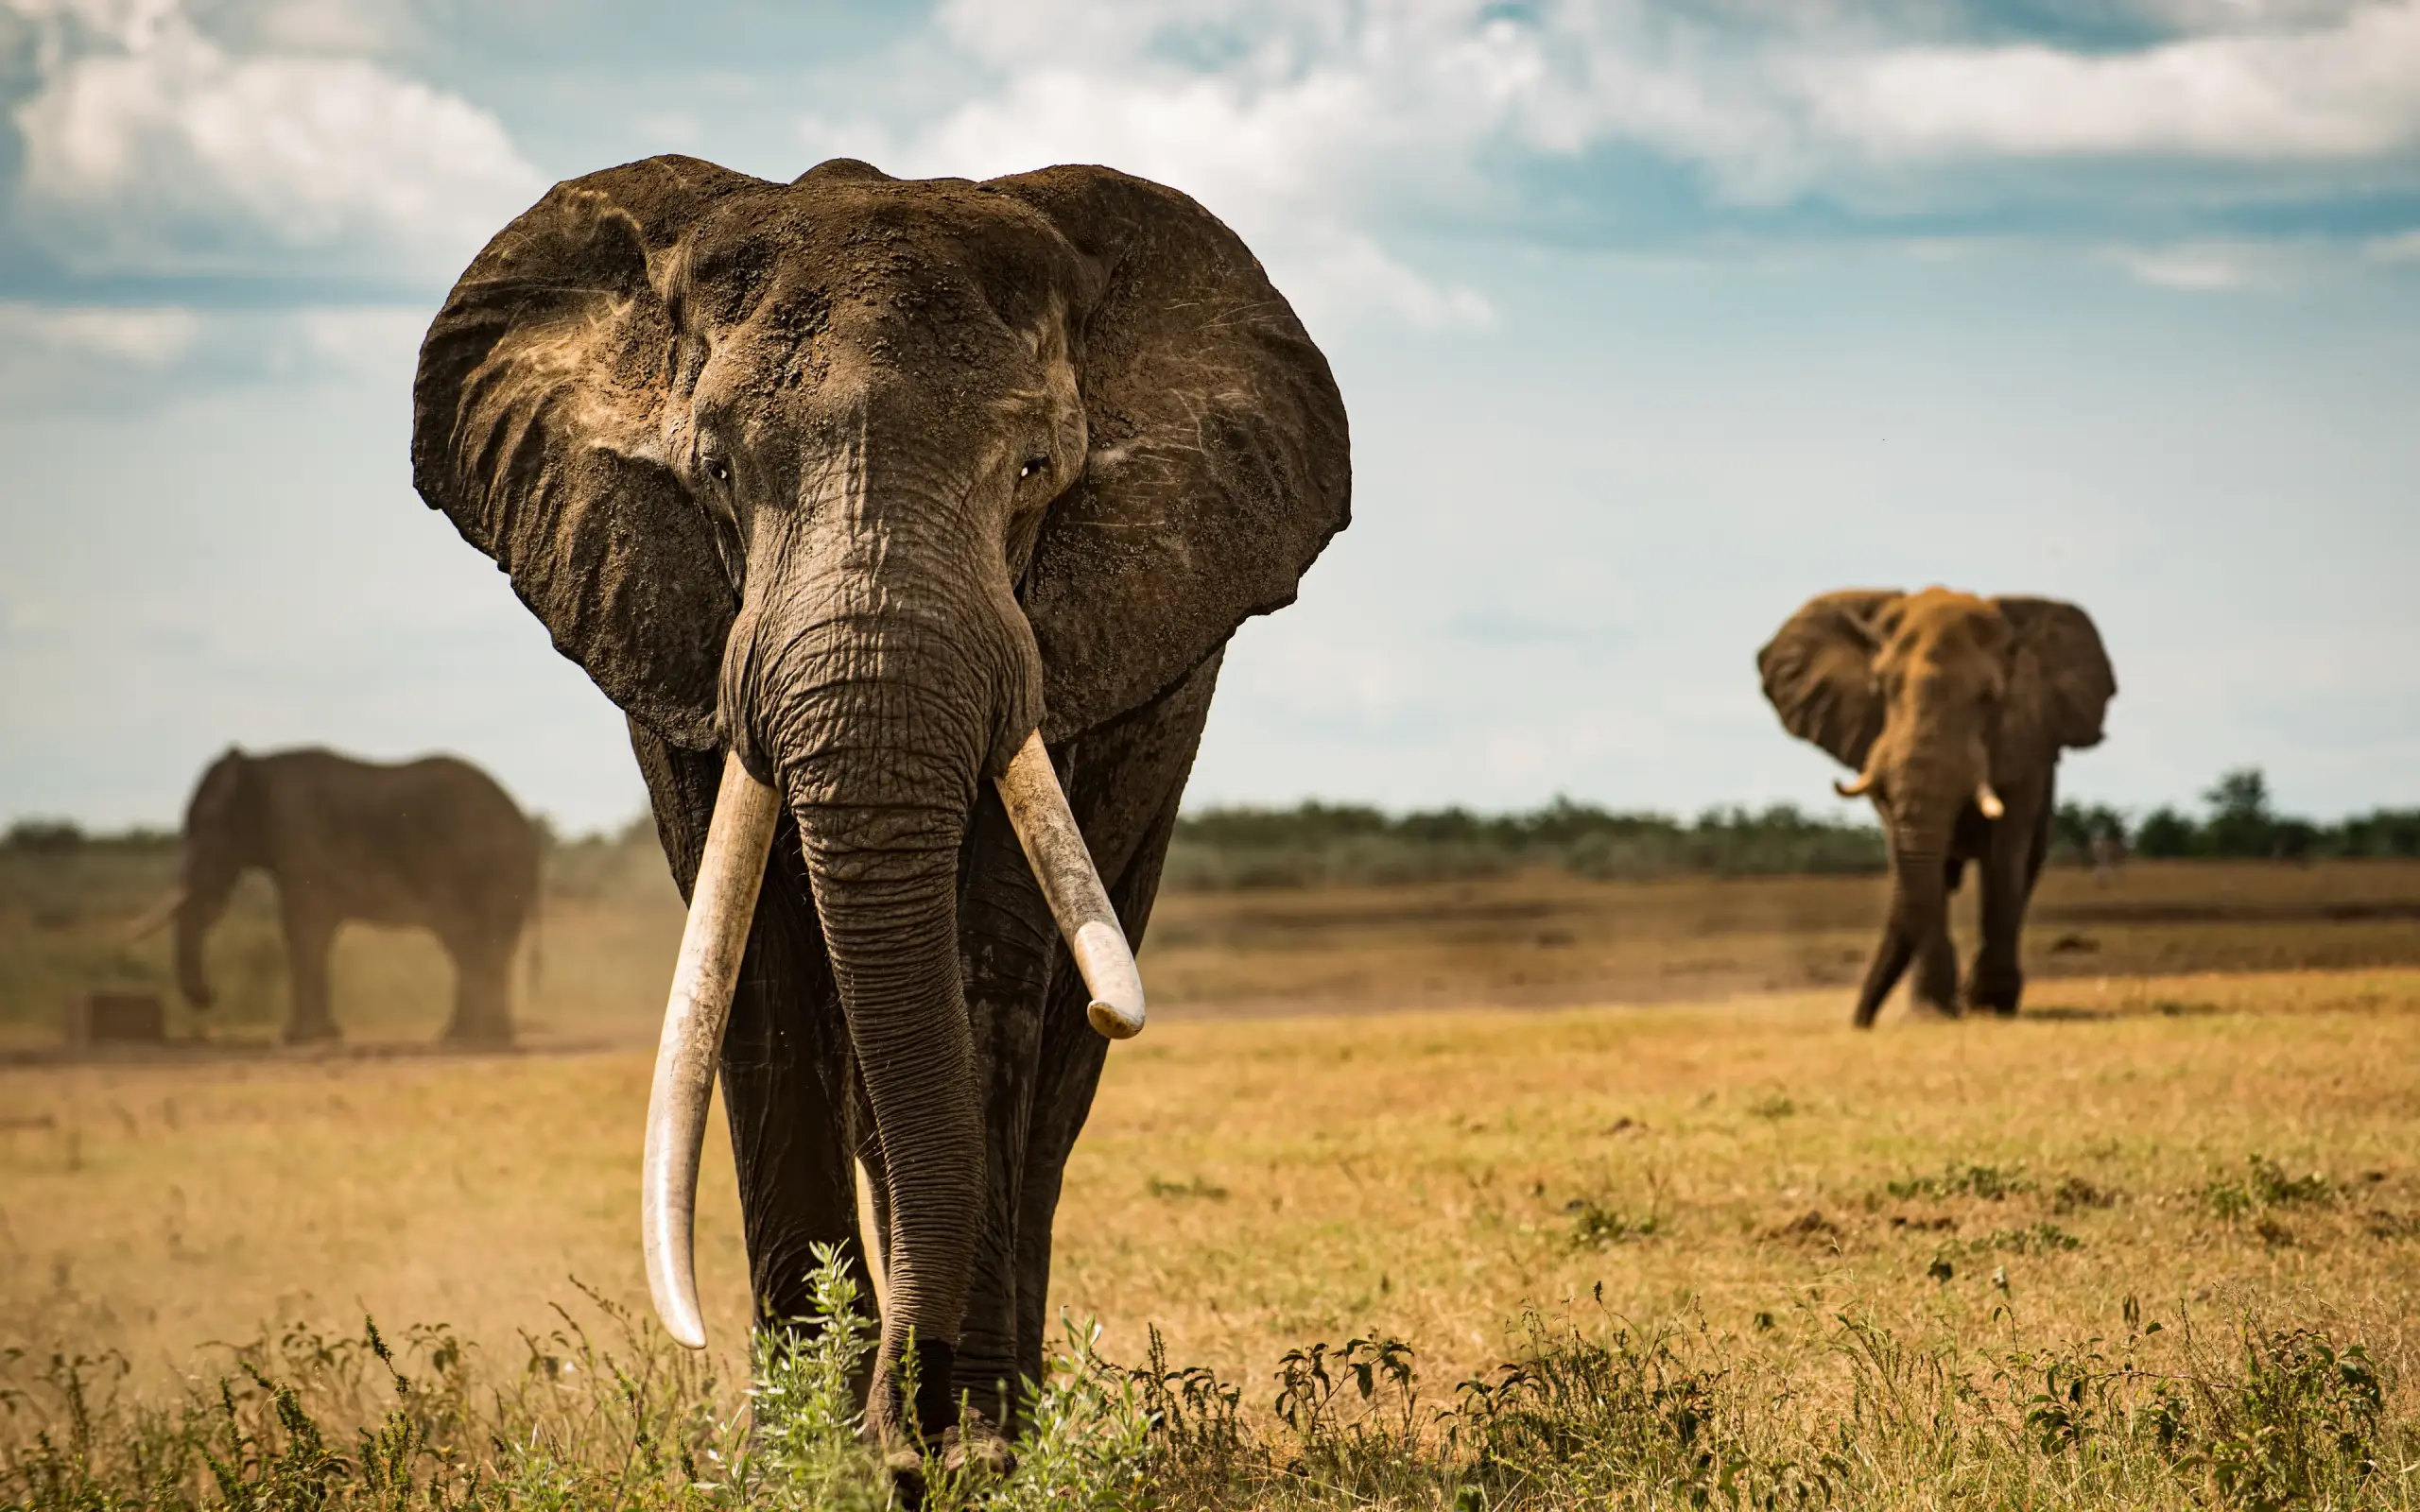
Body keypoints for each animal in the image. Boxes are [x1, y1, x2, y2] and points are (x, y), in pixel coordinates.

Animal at [135, 747, 540, 1046]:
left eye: (207, 827)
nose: (210, 997)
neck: (259, 766)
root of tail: (520, 817)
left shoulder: (304, 837)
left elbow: (302, 927)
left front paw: (302, 1039)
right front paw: (320, 1036)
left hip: (489, 870)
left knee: (477, 942)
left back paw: (474, 1037)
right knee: (468, 945)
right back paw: (467, 1036)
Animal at [408, 154, 1349, 1474]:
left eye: (1032, 471)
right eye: (715, 473)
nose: (907, 1445)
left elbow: (985, 973)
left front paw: (969, 1453)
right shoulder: (680, 635)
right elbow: (755, 976)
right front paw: (804, 1457)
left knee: (1050, 1078)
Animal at [1757, 587, 2115, 1027]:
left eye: (1988, 697)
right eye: (1881, 690)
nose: (1861, 1022)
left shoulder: (2026, 744)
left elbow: (2004, 853)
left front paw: (1989, 1005)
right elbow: (1916, 863)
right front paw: (1932, 1012)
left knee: (2024, 867)